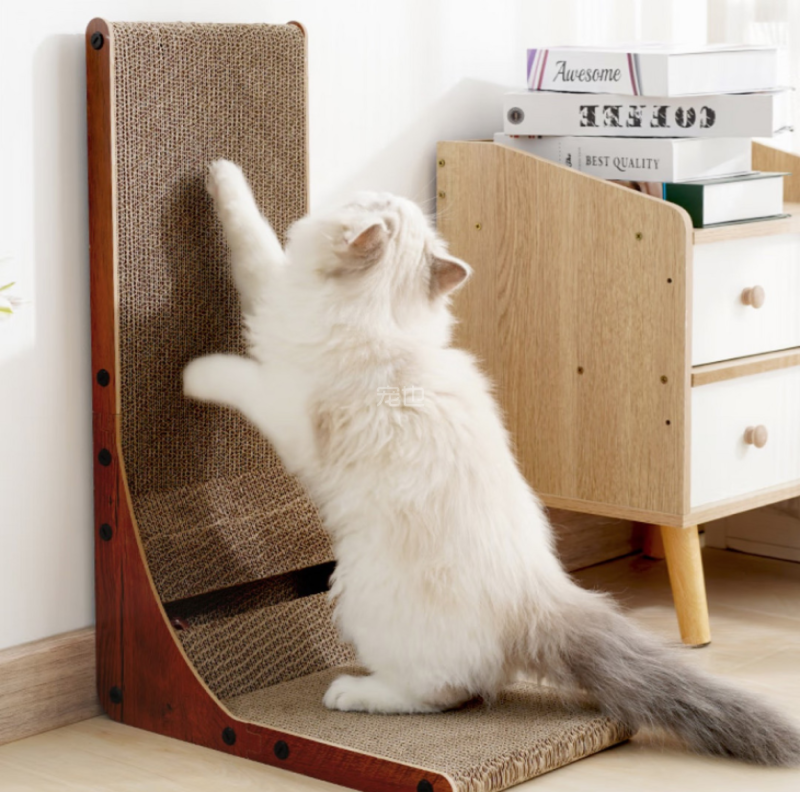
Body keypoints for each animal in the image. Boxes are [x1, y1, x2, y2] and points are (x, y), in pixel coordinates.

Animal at [184, 159, 800, 765]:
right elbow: (252, 234)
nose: (382, 190)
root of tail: (539, 599)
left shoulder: (282, 400)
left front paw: (192, 374)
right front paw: (220, 173)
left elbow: (233, 355)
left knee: (439, 694)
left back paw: (352, 692)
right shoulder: (275, 296)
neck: (382, 319)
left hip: (359, 595)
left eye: (376, 200)